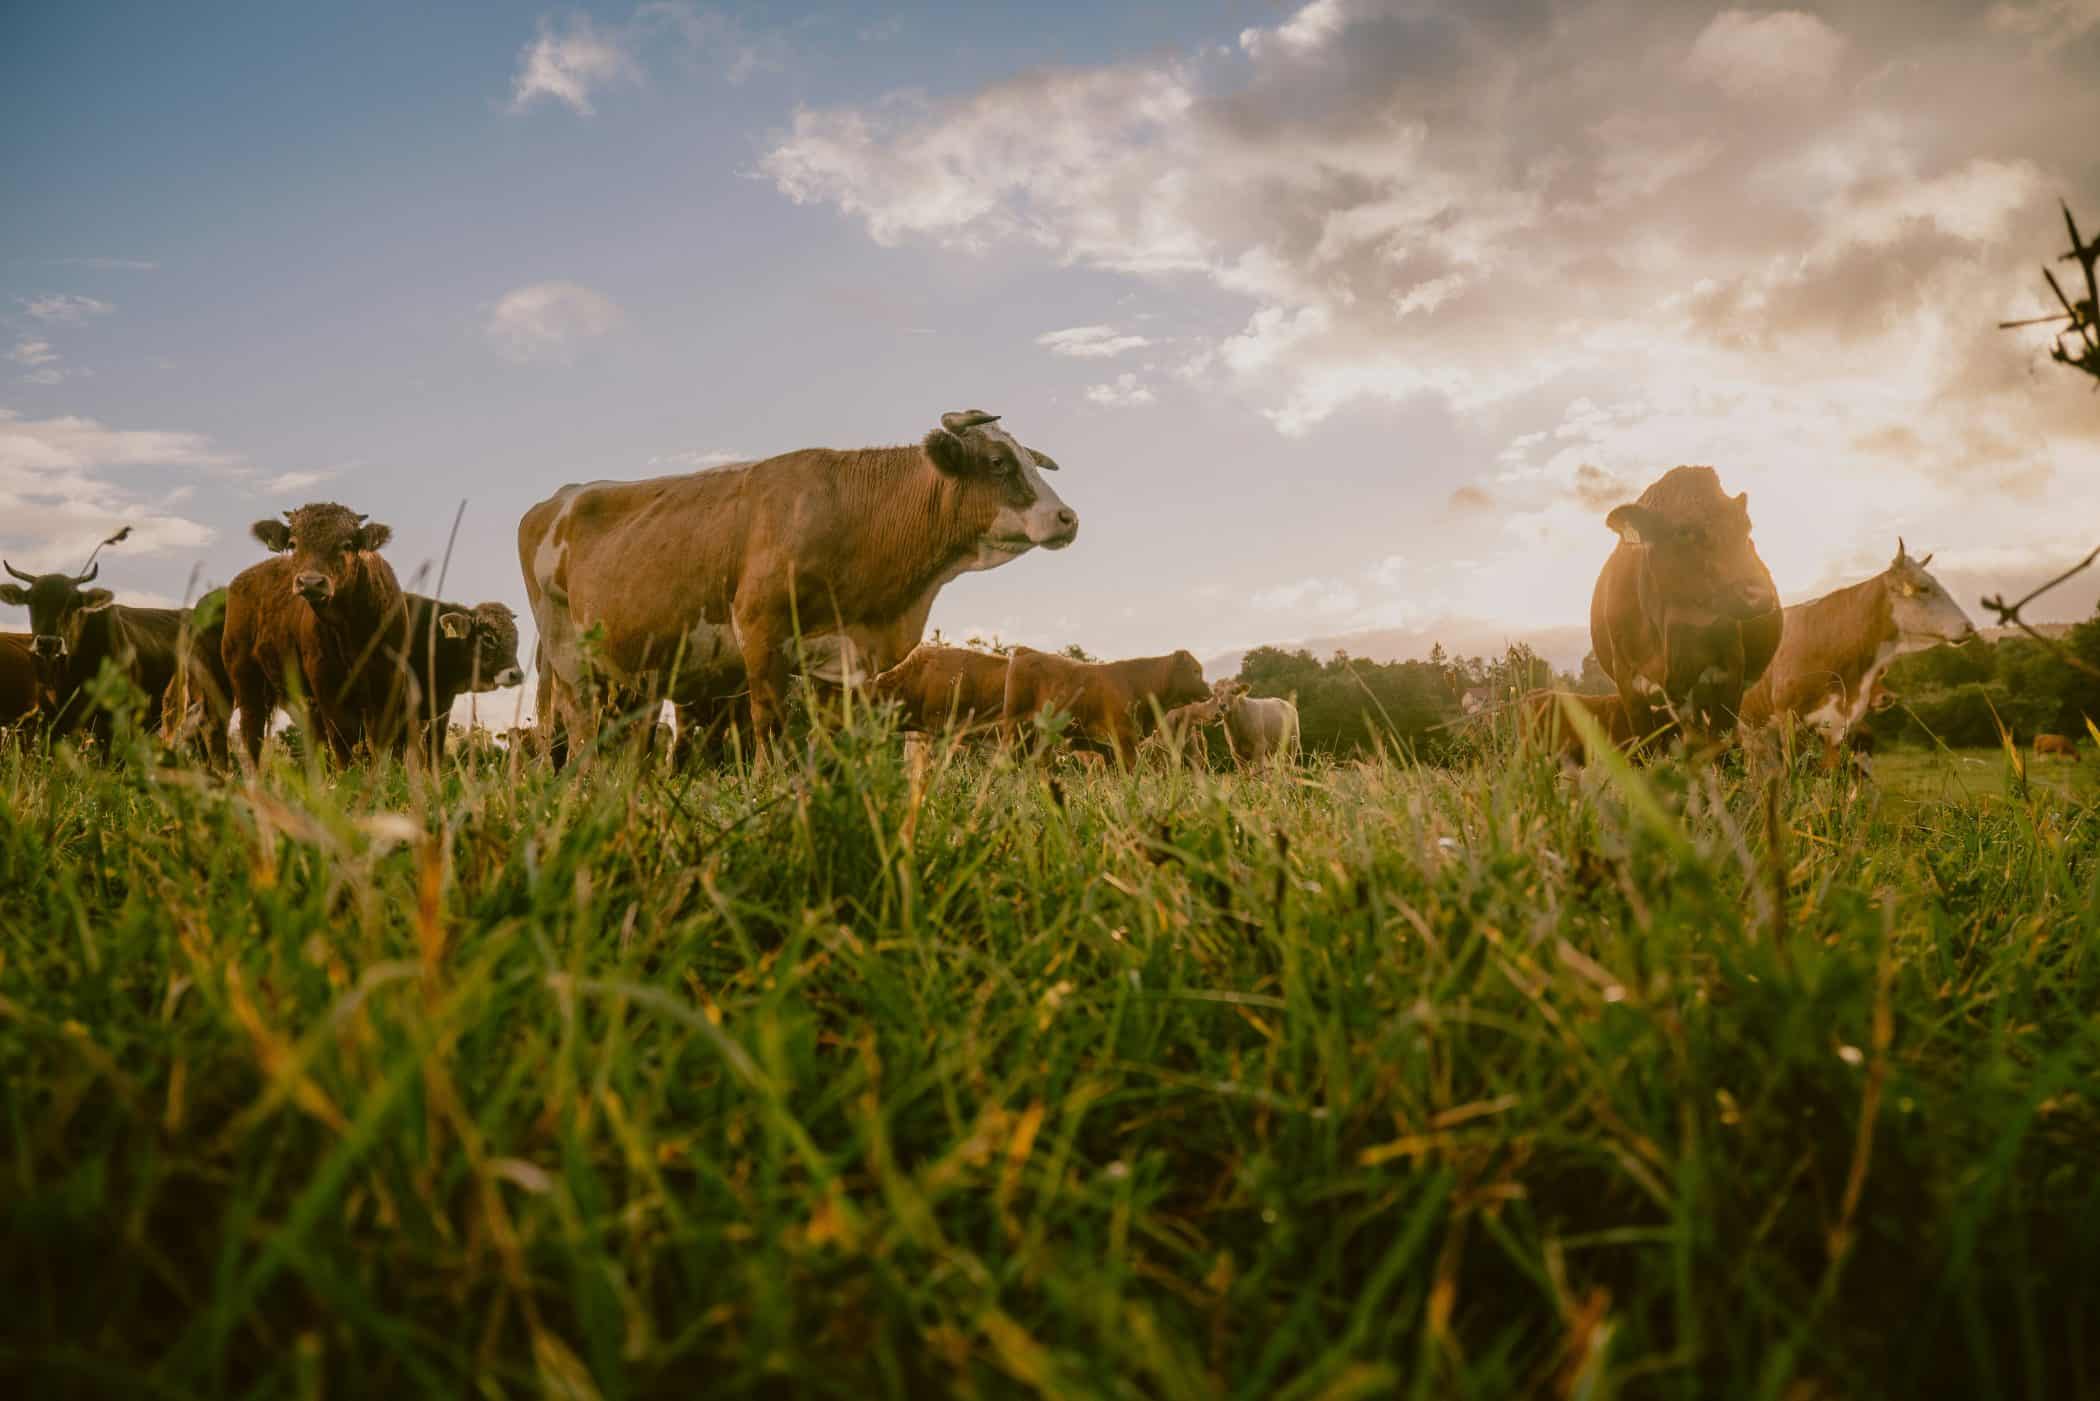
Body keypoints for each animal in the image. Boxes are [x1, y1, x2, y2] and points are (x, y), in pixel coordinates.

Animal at [221, 503, 411, 768]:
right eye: (293, 544)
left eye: (347, 544)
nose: (310, 582)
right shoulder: (327, 687)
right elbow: (344, 744)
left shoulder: (390, 682)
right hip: (246, 682)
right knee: (252, 736)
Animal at [1000, 647, 1209, 768]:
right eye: (1195, 671)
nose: (1209, 689)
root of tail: (1026, 651)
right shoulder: (1124, 734)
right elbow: (1131, 766)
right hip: (1014, 721)